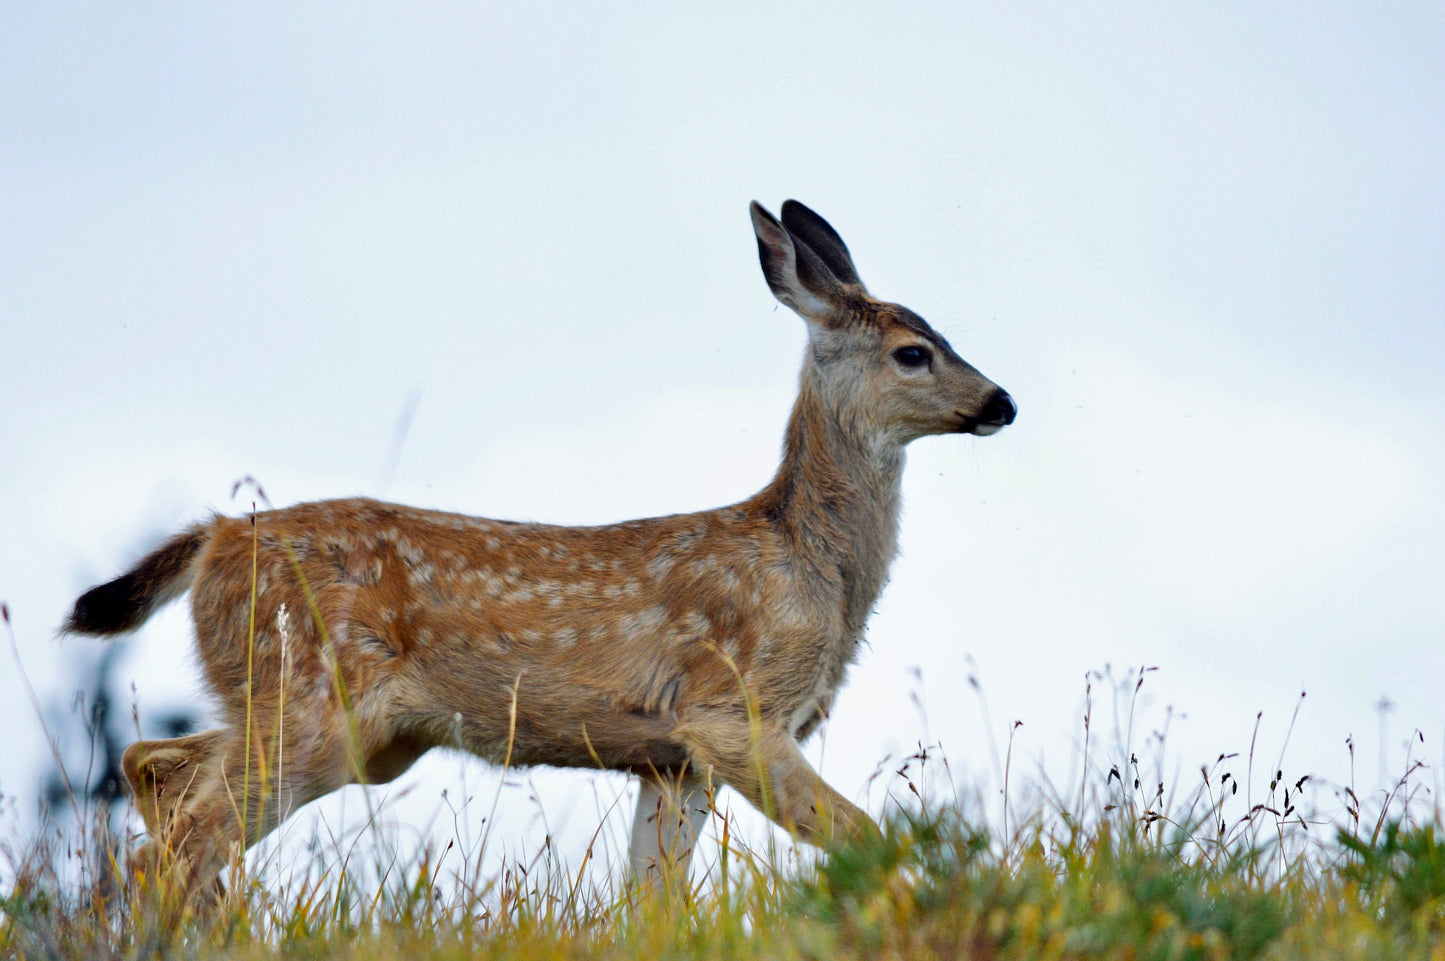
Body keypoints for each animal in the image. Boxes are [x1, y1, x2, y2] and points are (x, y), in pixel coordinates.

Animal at [65, 197, 1017, 901]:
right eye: (912, 352)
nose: (1001, 401)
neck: (808, 565)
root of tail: (216, 538)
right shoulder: (733, 707)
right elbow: (868, 836)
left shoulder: (669, 756)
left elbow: (651, 897)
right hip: (311, 693)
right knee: (178, 842)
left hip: (333, 725)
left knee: (153, 771)